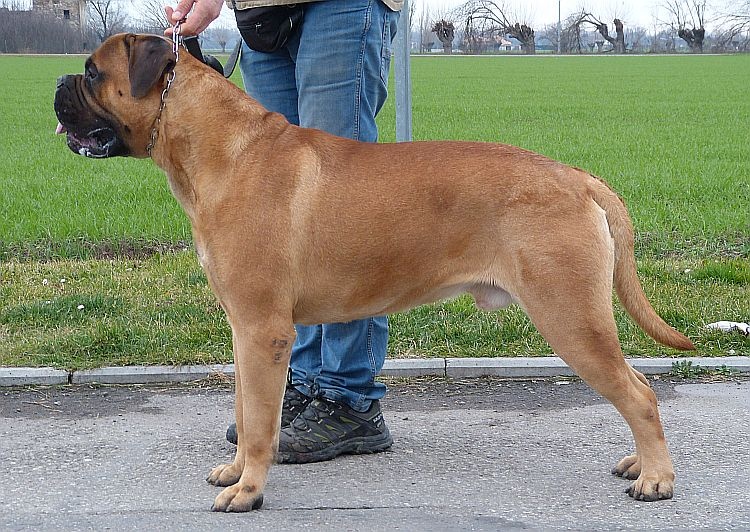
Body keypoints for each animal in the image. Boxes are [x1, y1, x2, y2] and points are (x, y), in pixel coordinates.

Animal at [54, 33, 694, 512]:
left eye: (92, 73)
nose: (58, 85)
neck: (218, 150)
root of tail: (579, 178)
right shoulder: (244, 331)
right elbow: (242, 407)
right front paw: (235, 472)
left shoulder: (263, 330)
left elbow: (260, 422)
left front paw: (250, 490)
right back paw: (640, 463)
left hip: (571, 317)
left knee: (639, 393)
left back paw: (656, 478)